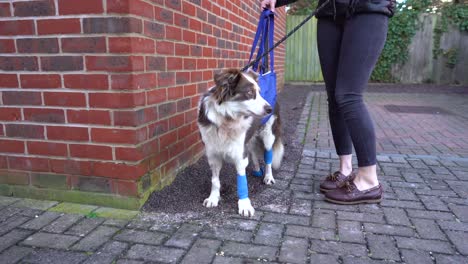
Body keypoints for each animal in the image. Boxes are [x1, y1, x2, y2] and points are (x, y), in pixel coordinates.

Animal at [197, 68, 284, 217]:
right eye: (249, 93)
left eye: (259, 92)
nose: (269, 109)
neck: (226, 119)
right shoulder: (213, 154)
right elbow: (215, 180)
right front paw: (213, 198)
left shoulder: (239, 154)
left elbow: (242, 180)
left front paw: (244, 204)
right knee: (253, 152)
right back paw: (257, 169)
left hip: (268, 135)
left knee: (268, 158)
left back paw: (268, 177)